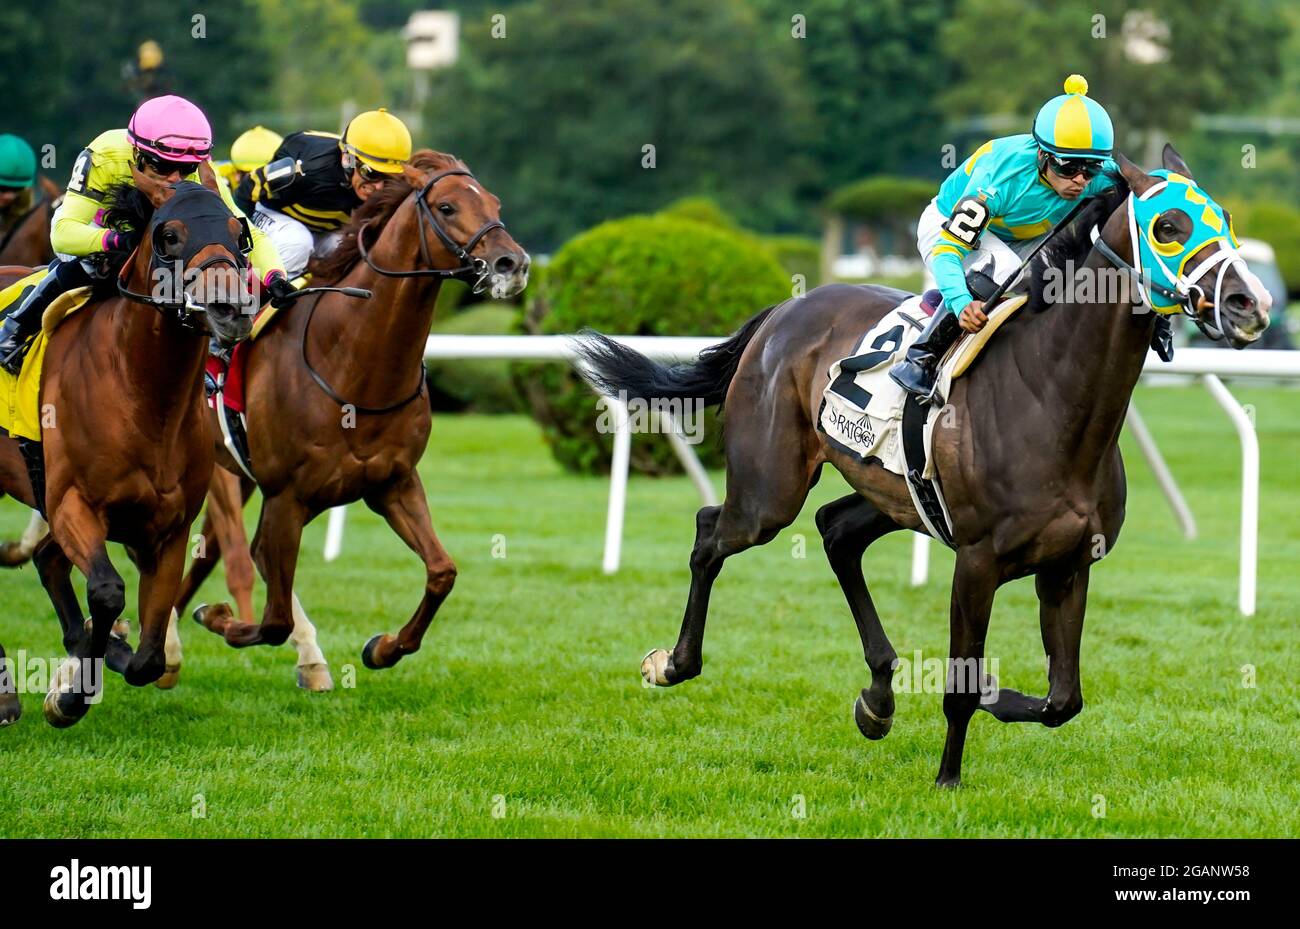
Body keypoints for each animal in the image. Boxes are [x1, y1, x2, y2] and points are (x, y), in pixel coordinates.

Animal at [0, 172, 254, 727]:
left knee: (48, 559)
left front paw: (85, 670)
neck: (144, 395)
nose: (230, 309)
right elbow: (107, 591)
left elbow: (151, 656)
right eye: (169, 235)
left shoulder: (170, 529)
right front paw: (70, 697)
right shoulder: (72, 504)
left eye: (239, 232)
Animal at [170, 152, 530, 686]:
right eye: (446, 207)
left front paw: (384, 647)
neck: (352, 363)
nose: (513, 264)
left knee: (207, 551)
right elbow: (272, 616)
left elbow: (442, 572)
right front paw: (221, 618)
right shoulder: (287, 498)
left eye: (495, 203)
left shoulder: (393, 483)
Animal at [574, 148, 1263, 789]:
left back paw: (877, 697)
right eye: (1167, 226)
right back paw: (674, 663)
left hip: (896, 494)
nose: (1248, 303)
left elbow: (1063, 700)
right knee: (710, 531)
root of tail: (784, 312)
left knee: (835, 531)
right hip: (769, 493)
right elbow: (963, 686)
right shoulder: (978, 562)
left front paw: (995, 698)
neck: (1054, 398)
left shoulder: (1068, 565)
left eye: (1227, 219)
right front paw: (948, 777)